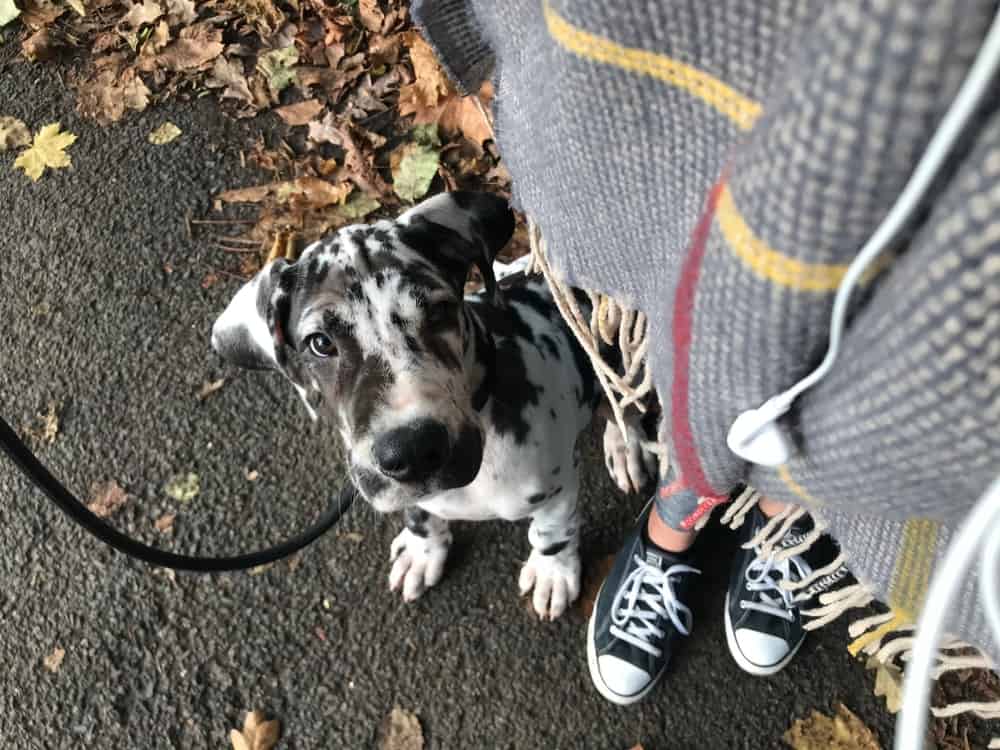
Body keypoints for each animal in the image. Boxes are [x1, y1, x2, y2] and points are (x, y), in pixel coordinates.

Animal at [209, 191, 656, 620]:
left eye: (439, 311)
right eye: (320, 343)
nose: (412, 451)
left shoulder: (557, 489)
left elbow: (551, 532)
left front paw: (553, 571)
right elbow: (420, 515)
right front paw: (423, 552)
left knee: (625, 405)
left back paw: (626, 446)